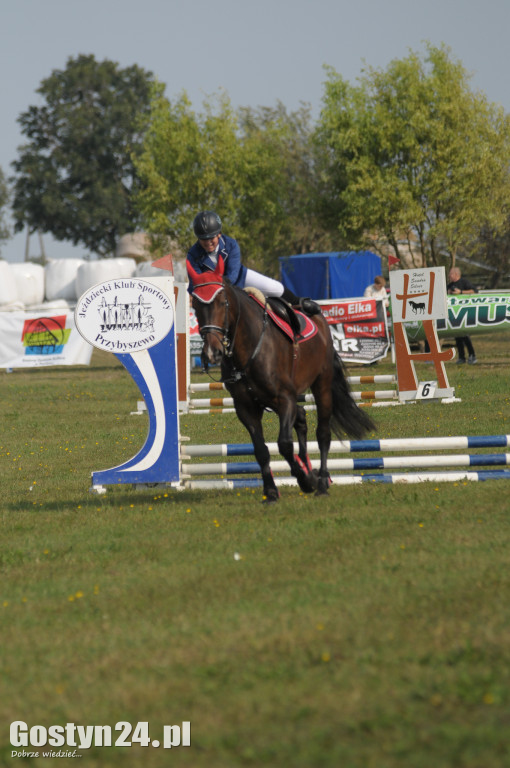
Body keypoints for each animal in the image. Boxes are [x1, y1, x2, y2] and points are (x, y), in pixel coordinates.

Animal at [187, 255, 374, 500]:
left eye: (221, 302)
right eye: (195, 305)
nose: (212, 353)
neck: (248, 347)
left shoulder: (284, 398)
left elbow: (284, 443)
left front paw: (306, 481)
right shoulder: (246, 406)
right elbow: (261, 450)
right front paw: (271, 491)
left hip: (321, 385)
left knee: (323, 433)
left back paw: (322, 482)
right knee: (301, 418)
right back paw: (310, 469)